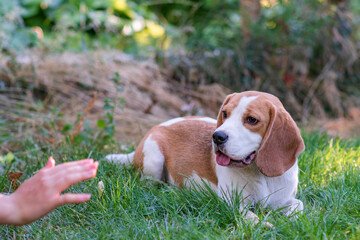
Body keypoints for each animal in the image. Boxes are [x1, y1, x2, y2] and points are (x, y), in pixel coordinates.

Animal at [105, 90, 306, 223]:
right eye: (225, 113)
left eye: (252, 120)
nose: (217, 137)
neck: (259, 173)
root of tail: (157, 126)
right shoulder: (232, 203)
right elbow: (251, 216)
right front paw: (265, 224)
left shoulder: (284, 200)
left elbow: (299, 206)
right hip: (153, 161)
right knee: (149, 186)